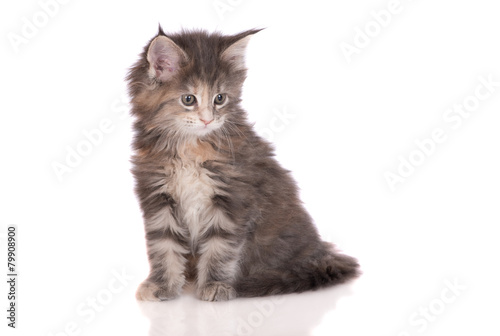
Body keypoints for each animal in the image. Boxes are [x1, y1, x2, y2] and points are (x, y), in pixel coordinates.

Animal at [127, 26, 358, 302]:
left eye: (219, 98)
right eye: (188, 99)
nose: (208, 120)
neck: (190, 148)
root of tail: (320, 252)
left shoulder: (232, 198)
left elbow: (220, 248)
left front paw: (216, 285)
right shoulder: (158, 196)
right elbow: (164, 247)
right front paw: (162, 286)